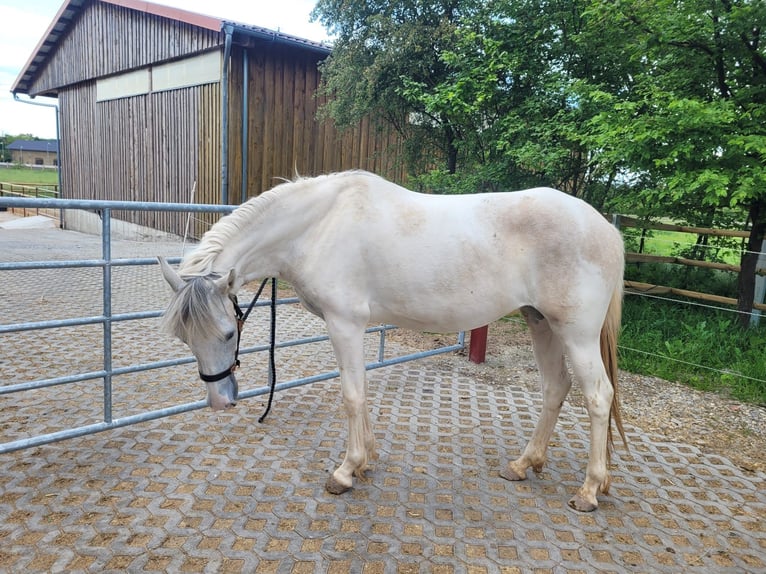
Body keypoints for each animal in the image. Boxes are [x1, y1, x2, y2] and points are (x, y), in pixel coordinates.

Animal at [159, 171, 628, 512]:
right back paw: (523, 464)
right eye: (183, 337)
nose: (219, 401)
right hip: (541, 323)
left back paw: (588, 491)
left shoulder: (344, 323)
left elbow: (351, 394)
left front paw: (345, 472)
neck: (319, 224)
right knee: (555, 388)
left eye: (229, 332)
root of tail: (605, 229)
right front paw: (365, 461)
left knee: (597, 397)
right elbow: (362, 392)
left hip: (576, 333)